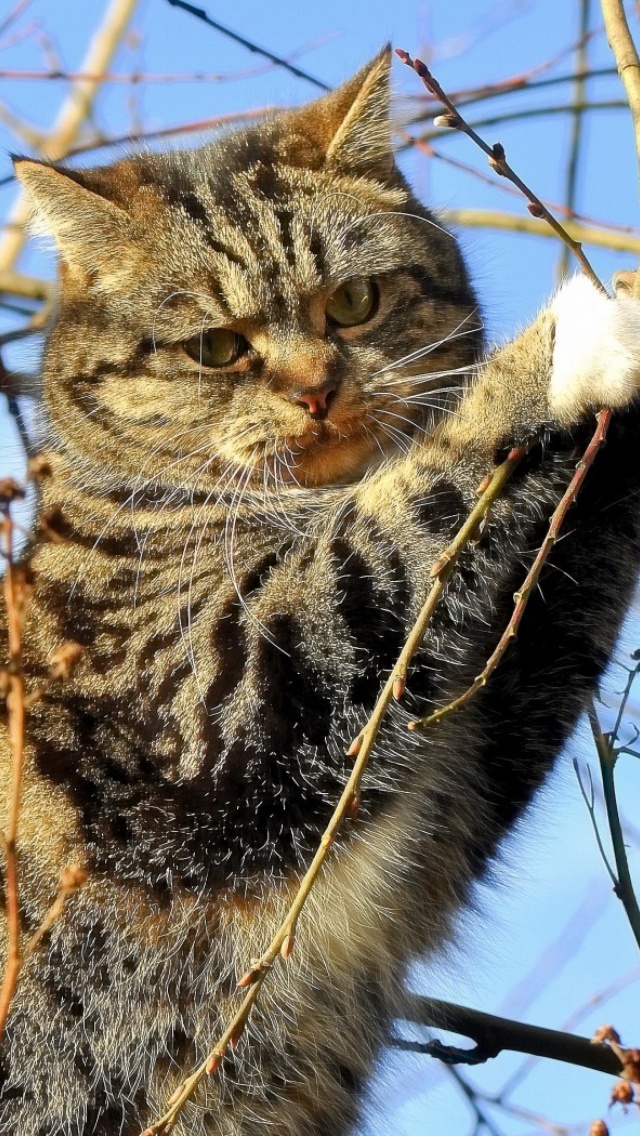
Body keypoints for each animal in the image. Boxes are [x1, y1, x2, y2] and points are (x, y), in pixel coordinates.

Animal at [3, 44, 640, 1136]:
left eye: (352, 302)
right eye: (217, 348)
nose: (316, 390)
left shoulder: (464, 760)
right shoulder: (219, 695)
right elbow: (401, 509)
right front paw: (574, 338)